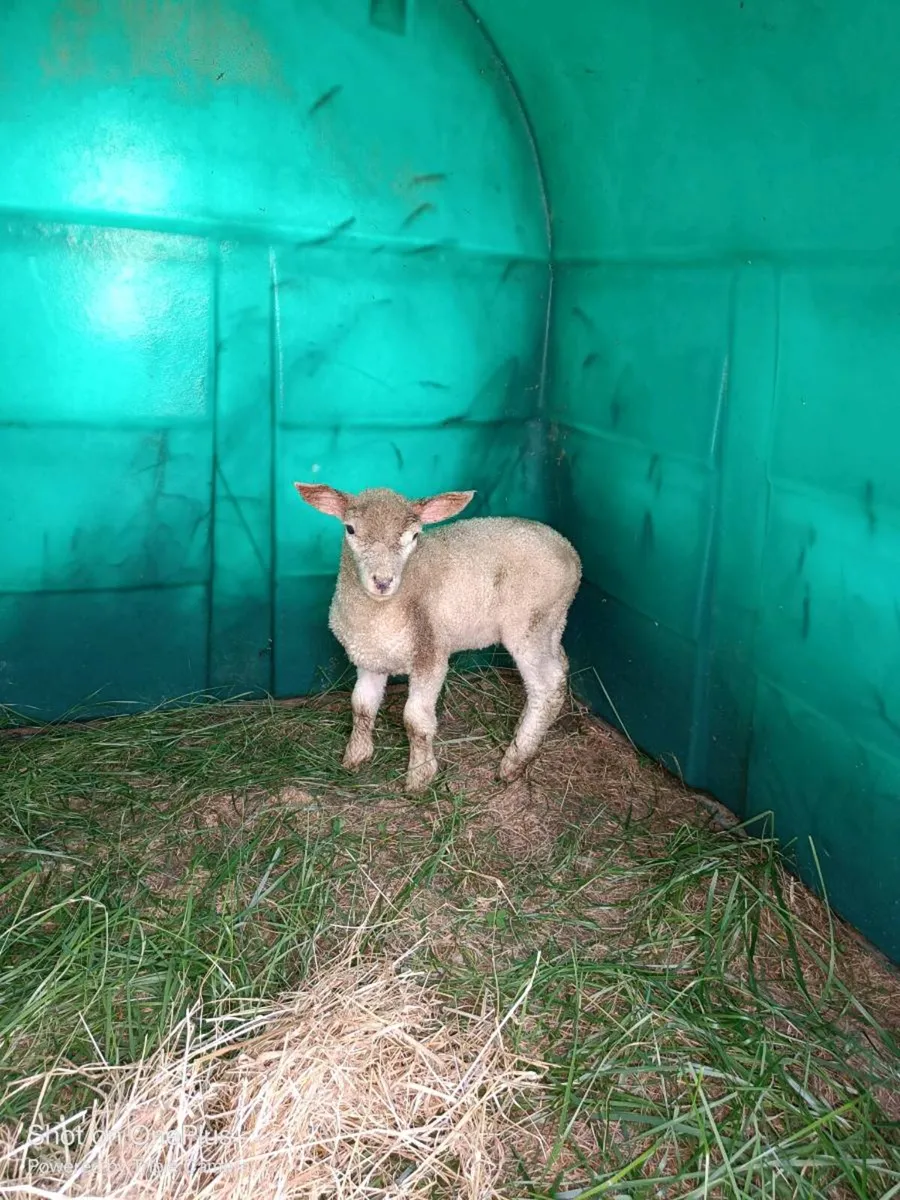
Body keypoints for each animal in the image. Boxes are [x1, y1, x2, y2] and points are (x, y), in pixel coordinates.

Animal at [294, 482, 582, 794]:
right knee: (560, 666)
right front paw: (355, 756)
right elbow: (361, 706)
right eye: (350, 529)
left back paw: (515, 760)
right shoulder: (370, 658)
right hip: (553, 620)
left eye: (414, 536)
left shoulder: (430, 654)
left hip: (529, 621)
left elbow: (415, 720)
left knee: (547, 685)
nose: (383, 582)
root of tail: (569, 552)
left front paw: (419, 777)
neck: (382, 610)